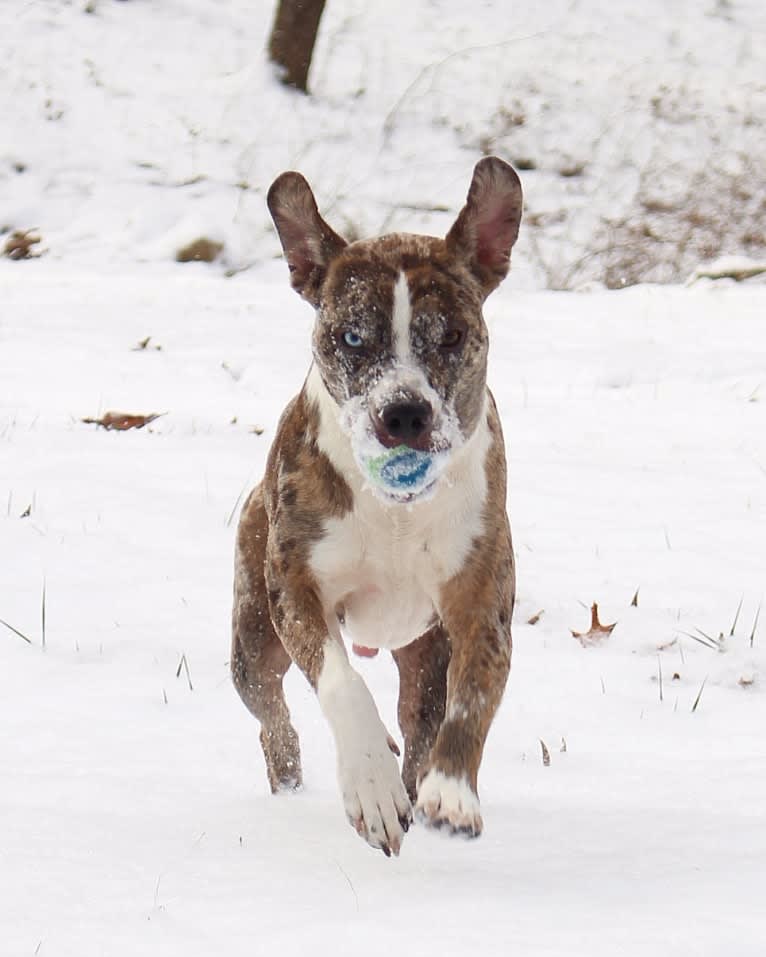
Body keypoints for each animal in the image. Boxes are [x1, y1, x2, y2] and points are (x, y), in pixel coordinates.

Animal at [234, 157, 520, 860]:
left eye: (452, 336)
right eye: (353, 337)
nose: (405, 412)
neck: (397, 509)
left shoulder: (480, 602)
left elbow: (472, 698)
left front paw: (452, 792)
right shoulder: (295, 588)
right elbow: (341, 683)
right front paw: (370, 789)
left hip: (422, 653)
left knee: (420, 717)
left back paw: (417, 777)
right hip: (251, 637)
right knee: (270, 709)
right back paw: (294, 780)